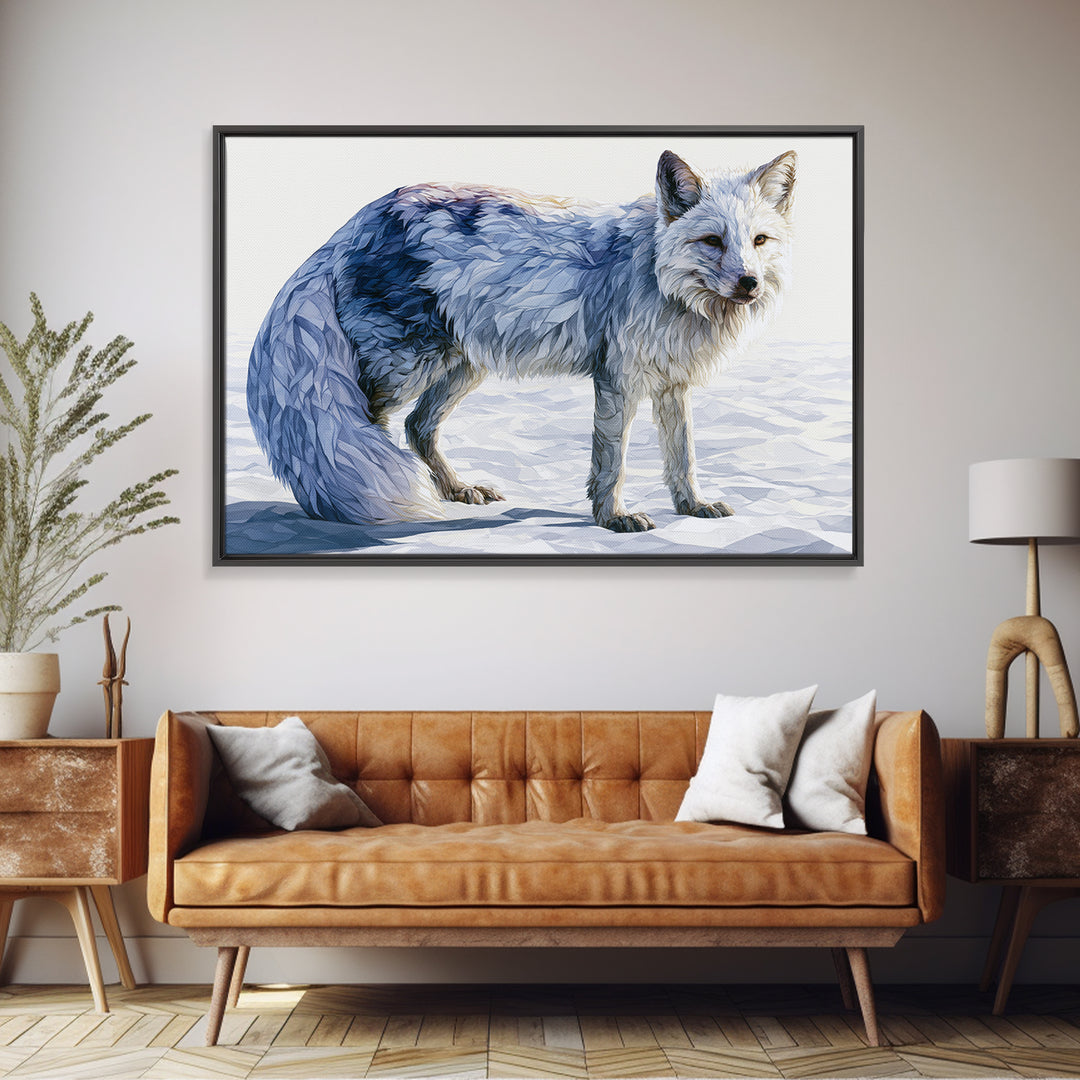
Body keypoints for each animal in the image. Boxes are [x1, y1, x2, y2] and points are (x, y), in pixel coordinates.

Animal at [247, 148, 796, 532]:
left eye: (759, 241)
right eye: (712, 241)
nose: (749, 283)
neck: (660, 278)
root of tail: (356, 221)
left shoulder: (672, 384)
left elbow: (682, 457)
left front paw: (692, 506)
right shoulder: (616, 380)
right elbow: (612, 463)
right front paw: (612, 518)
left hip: (462, 367)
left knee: (417, 428)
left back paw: (453, 489)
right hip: (404, 366)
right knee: (367, 426)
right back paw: (363, 500)